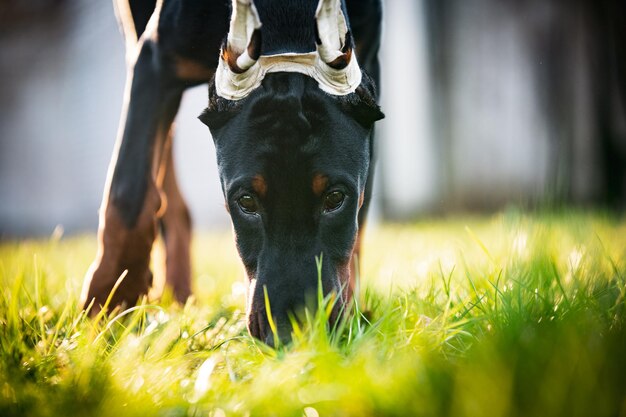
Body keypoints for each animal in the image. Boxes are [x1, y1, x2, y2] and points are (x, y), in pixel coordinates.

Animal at [80, 0, 382, 344]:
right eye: (246, 201)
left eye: (335, 198)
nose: (293, 335)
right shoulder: (156, 58)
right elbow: (129, 190)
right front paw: (111, 300)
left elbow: (359, 221)